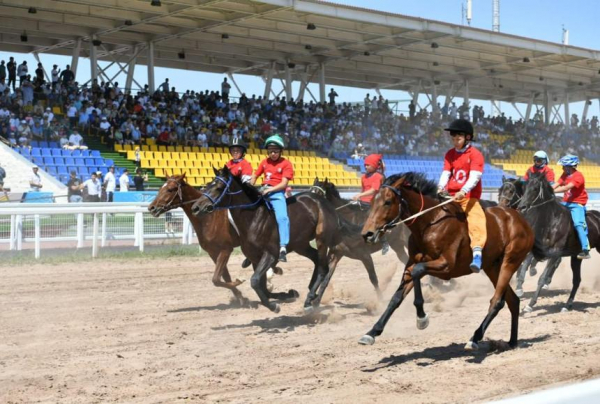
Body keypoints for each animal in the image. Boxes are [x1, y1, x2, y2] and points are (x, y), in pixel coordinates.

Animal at [147, 174, 284, 306]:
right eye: (161, 188)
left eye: (170, 189)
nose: (151, 208)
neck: (208, 219)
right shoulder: (212, 252)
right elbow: (223, 277)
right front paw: (240, 297)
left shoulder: (225, 249)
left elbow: (216, 279)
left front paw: (239, 282)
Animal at [190, 166, 344, 312]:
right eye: (207, 185)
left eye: (219, 187)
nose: (196, 207)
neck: (254, 218)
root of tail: (322, 201)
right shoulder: (254, 258)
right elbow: (261, 286)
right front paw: (286, 295)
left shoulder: (270, 255)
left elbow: (254, 281)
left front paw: (274, 306)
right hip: (301, 245)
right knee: (317, 260)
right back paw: (311, 293)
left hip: (321, 240)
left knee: (323, 268)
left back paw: (310, 299)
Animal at [360, 172, 536, 348]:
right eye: (372, 201)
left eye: (388, 202)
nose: (367, 234)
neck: (431, 223)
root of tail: (521, 220)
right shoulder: (411, 264)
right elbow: (397, 297)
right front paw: (371, 332)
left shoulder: (446, 265)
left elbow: (418, 271)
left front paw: (422, 318)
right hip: (492, 267)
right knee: (513, 300)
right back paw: (512, 341)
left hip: (510, 261)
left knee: (497, 301)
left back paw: (475, 338)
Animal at [516, 172, 600, 314]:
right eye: (524, 187)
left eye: (535, 189)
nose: (521, 207)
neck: (552, 220)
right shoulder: (541, 250)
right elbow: (526, 265)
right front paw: (520, 289)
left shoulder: (555, 253)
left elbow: (542, 277)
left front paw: (530, 304)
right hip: (575, 257)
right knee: (576, 280)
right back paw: (567, 305)